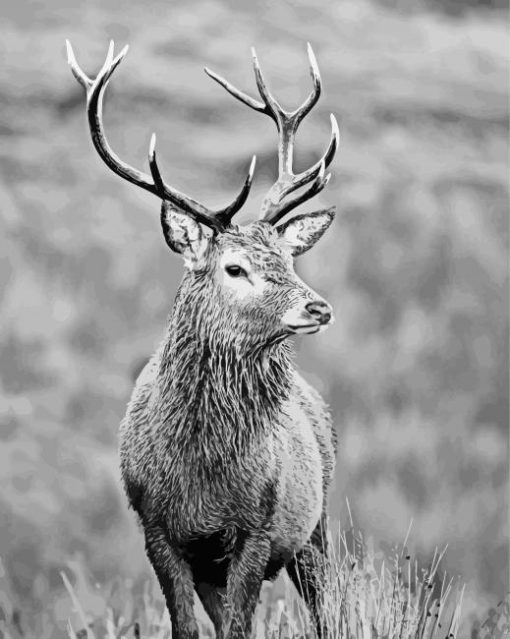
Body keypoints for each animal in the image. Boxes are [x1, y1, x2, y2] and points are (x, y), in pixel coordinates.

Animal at [65, 40, 340, 639]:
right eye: (235, 268)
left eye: (288, 259)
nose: (319, 307)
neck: (201, 473)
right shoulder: (158, 529)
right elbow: (189, 628)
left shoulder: (257, 529)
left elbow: (239, 628)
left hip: (317, 523)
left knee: (330, 606)